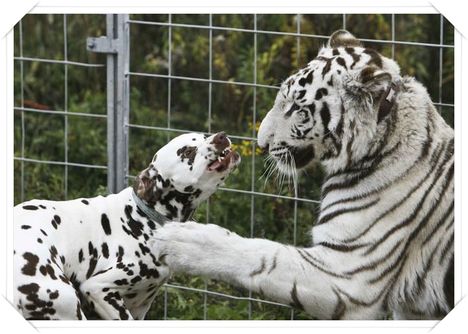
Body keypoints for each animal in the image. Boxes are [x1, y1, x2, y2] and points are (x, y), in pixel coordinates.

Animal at [12, 132, 239, 320]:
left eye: (204, 136)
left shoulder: (140, 306)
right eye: (187, 152)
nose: (221, 136)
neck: (142, 218)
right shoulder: (99, 289)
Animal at [153, 31, 454, 320]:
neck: (379, 141)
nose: (261, 143)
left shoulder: (349, 274)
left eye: (298, 109)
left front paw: (180, 239)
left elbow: (264, 254)